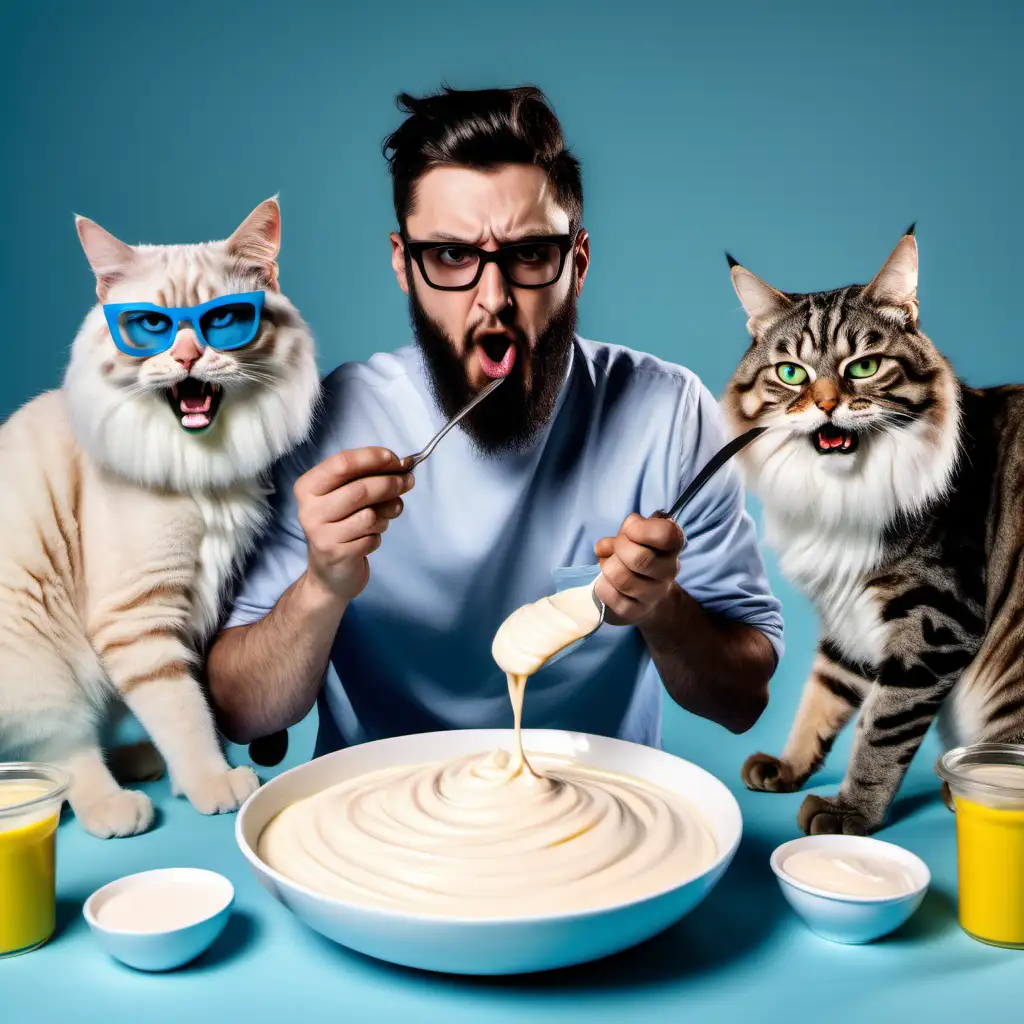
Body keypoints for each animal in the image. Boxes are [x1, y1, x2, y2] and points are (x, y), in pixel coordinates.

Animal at [0, 195, 319, 835]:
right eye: (151, 327)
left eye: (223, 321)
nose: (188, 355)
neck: (202, 462)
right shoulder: (139, 614)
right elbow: (182, 710)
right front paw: (213, 783)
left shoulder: (191, 604)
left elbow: (189, 702)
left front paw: (194, 774)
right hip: (35, 655)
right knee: (61, 760)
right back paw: (118, 806)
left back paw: (139, 762)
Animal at [724, 230, 1024, 831]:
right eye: (791, 373)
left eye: (863, 367)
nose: (825, 405)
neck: (842, 495)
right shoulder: (848, 616)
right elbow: (823, 694)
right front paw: (789, 768)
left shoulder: (934, 623)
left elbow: (880, 730)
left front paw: (849, 812)